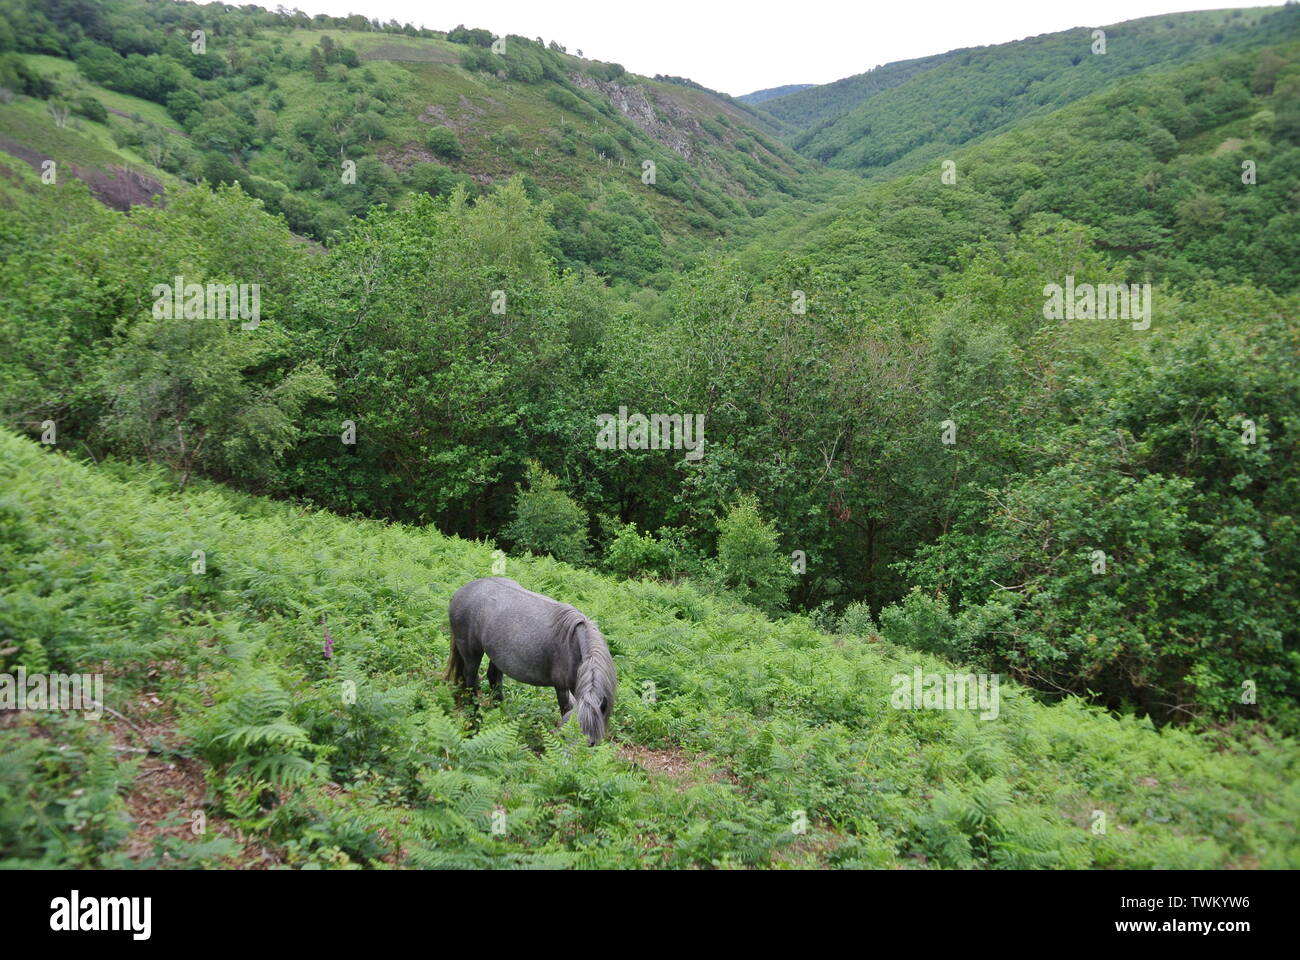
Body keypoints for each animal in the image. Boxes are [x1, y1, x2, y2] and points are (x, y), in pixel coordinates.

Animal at [445, 577, 617, 745]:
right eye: (563, 737)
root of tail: (461, 592)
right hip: (471, 655)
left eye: (592, 743)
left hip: (496, 655)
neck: (574, 644)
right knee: (471, 681)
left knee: (494, 678)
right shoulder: (562, 688)